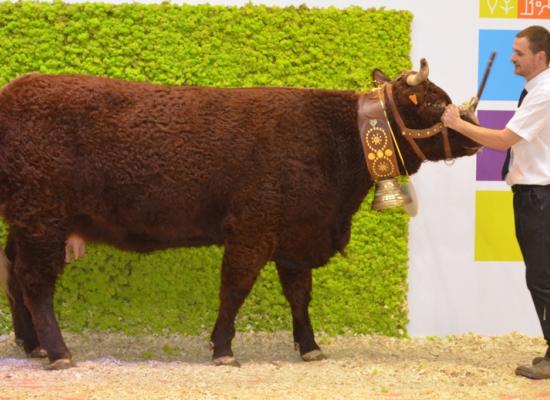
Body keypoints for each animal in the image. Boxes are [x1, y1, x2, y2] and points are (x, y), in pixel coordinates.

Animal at [0, 59, 484, 368]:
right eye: (432, 103)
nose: (475, 135)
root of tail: (15, 89)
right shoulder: (253, 227)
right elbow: (234, 290)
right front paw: (222, 350)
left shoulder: (295, 235)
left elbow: (299, 295)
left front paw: (310, 346)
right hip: (43, 218)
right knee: (34, 283)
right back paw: (58, 352)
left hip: (26, 220)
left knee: (13, 274)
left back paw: (32, 344)